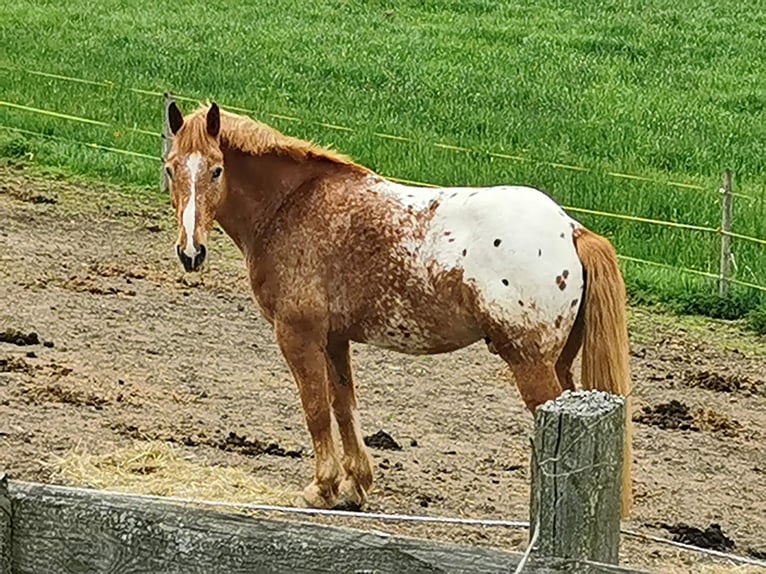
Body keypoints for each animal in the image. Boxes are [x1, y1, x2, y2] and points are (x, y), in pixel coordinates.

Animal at [164, 101, 636, 520]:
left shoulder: (298, 335)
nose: (191, 253)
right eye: (170, 169)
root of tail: (572, 230)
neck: (293, 205)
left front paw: (321, 488)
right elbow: (343, 406)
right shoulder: (334, 339)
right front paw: (354, 486)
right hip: (559, 365)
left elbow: (315, 409)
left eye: (216, 170)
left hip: (531, 365)